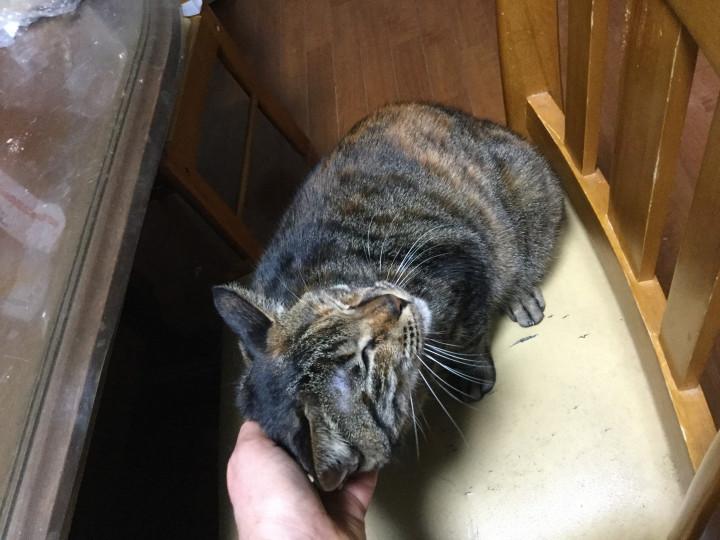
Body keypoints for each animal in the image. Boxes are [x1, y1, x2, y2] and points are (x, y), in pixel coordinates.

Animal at [214, 103, 563, 491]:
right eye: (364, 359)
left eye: (342, 302)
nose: (394, 302)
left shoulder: (460, 255)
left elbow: (468, 336)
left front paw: (470, 371)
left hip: (525, 195)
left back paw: (520, 293)